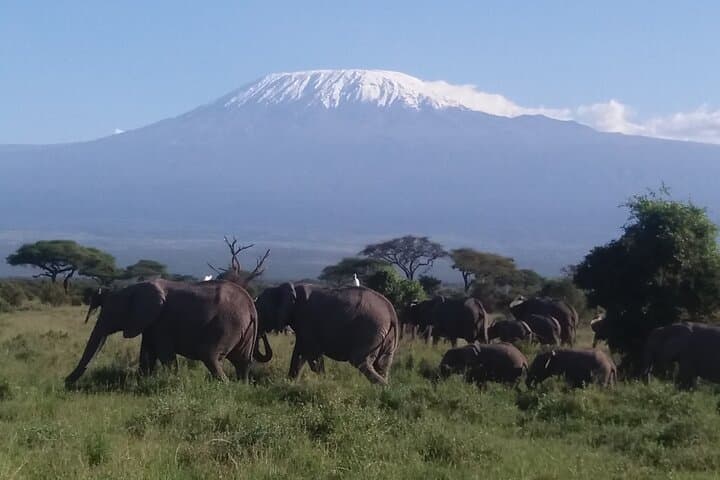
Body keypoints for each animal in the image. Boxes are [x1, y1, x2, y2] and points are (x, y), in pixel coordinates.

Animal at [65, 279, 268, 385]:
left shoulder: (162, 322)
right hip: (245, 330)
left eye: (110, 314)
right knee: (242, 361)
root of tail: (251, 306)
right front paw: (143, 382)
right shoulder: (150, 323)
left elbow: (164, 354)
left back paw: (225, 386)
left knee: (209, 355)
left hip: (226, 325)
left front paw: (171, 382)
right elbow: (147, 353)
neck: (132, 289)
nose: (66, 382)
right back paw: (241, 387)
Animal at [254, 283, 399, 385]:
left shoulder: (307, 320)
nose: (262, 334)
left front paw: (324, 381)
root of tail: (391, 312)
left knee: (361, 361)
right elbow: (299, 354)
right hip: (386, 335)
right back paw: (383, 390)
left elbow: (312, 356)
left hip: (370, 330)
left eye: (260, 311)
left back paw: (383, 387)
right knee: (382, 364)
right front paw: (289, 383)